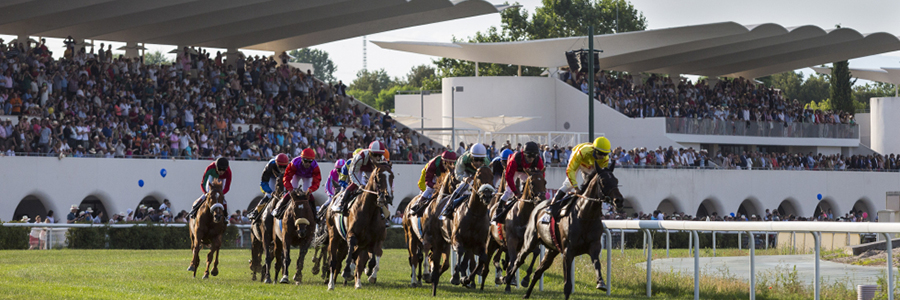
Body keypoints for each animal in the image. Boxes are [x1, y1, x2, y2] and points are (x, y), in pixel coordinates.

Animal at [510, 163, 624, 298]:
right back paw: (507, 280)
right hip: (530, 241)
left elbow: (597, 262)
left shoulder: (594, 245)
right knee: (519, 260)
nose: (619, 200)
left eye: (616, 180)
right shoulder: (567, 252)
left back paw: (526, 293)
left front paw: (600, 282)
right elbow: (567, 285)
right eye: (603, 181)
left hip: (552, 250)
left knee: (537, 272)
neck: (585, 215)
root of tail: (537, 205)